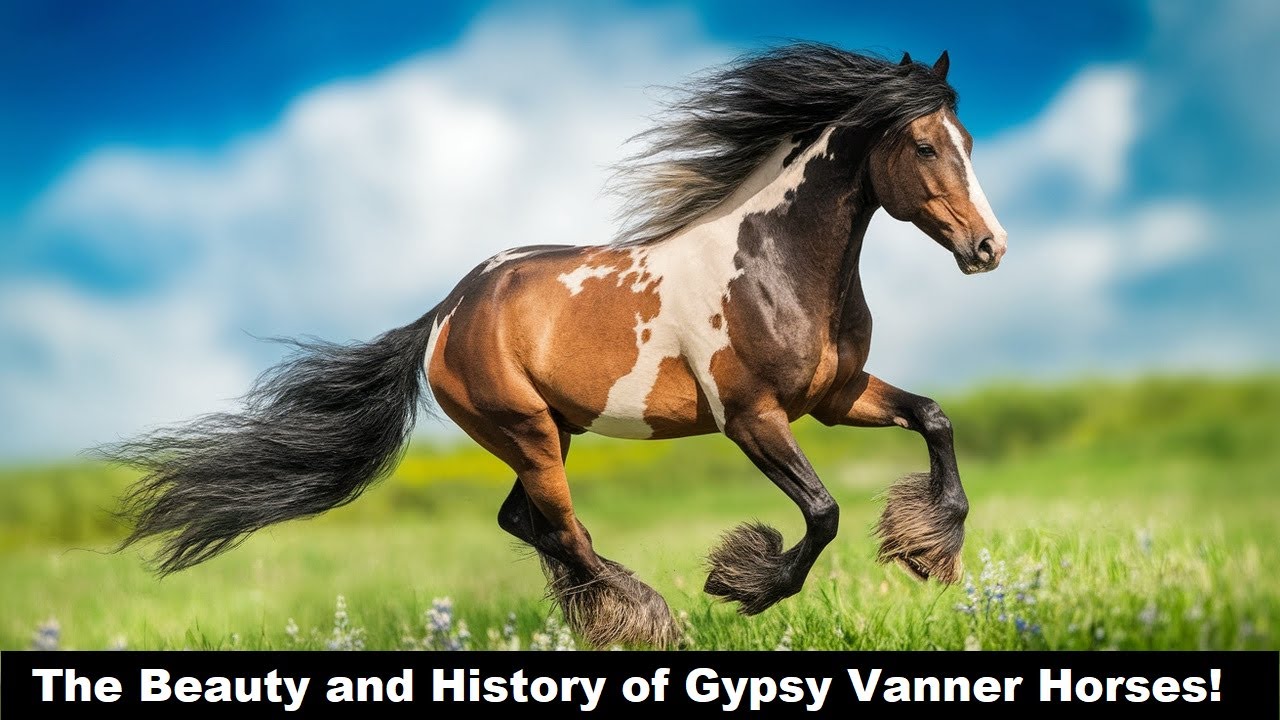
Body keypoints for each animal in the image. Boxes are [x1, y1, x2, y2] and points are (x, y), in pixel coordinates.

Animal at [106, 43, 1008, 648]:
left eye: (968, 142)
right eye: (924, 144)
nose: (989, 248)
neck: (773, 263)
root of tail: (446, 311)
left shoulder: (833, 397)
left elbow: (934, 418)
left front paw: (927, 548)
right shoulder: (752, 417)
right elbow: (821, 513)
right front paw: (743, 583)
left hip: (551, 433)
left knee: (526, 522)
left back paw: (614, 611)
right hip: (530, 432)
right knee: (563, 530)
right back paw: (646, 620)